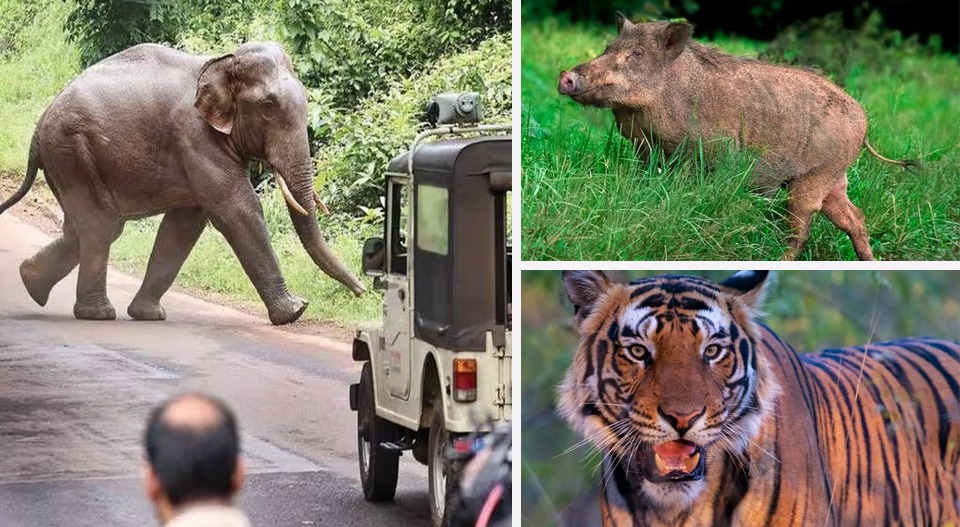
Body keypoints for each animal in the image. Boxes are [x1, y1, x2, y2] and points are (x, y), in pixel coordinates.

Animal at [0, 41, 366, 326]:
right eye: (268, 106)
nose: (363, 291)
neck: (222, 61)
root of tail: (39, 127)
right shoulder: (194, 137)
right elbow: (238, 211)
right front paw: (294, 312)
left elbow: (185, 225)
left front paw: (148, 315)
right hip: (73, 150)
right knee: (101, 226)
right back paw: (96, 314)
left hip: (70, 160)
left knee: (89, 227)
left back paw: (30, 281)